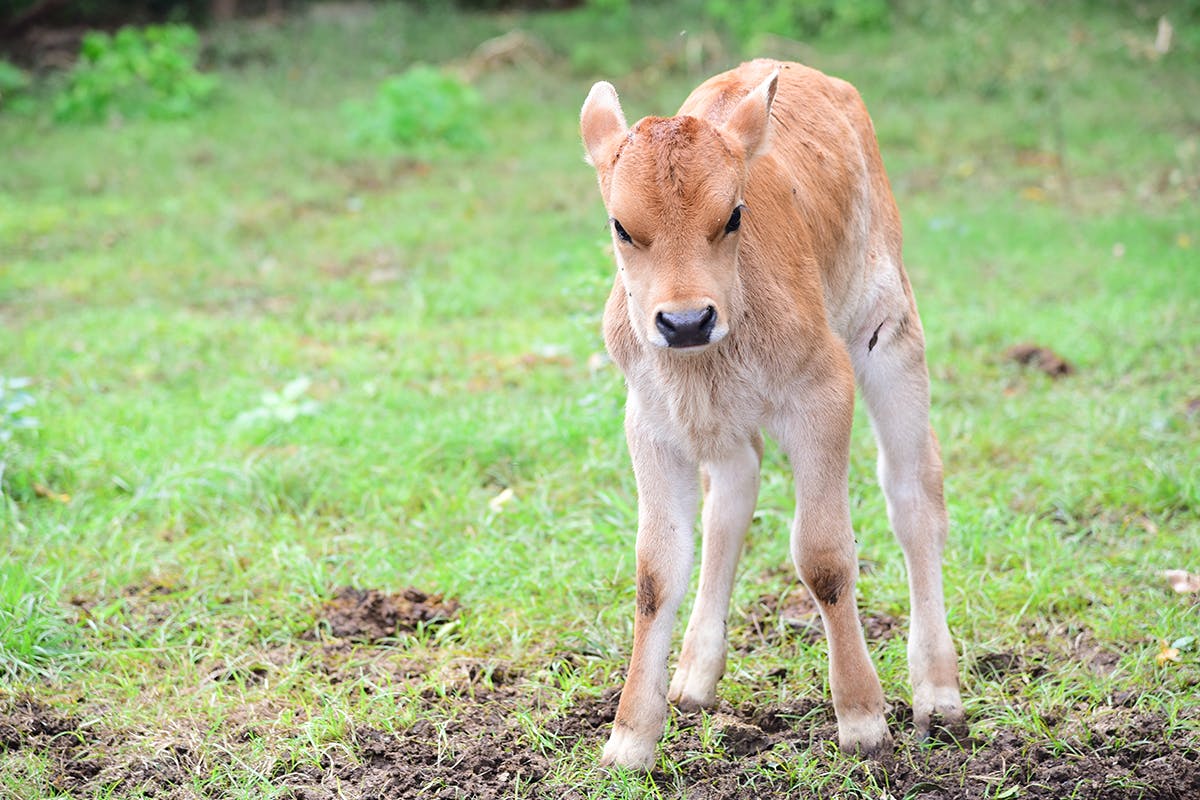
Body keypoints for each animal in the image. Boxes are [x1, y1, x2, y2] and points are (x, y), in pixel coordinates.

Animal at [578, 59, 964, 772]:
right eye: (621, 226)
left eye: (733, 215)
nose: (685, 321)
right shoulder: (650, 422)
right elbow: (655, 572)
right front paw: (629, 739)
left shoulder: (823, 392)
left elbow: (824, 558)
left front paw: (863, 720)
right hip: (725, 427)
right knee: (732, 494)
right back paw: (695, 677)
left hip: (892, 331)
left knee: (914, 496)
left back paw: (939, 693)